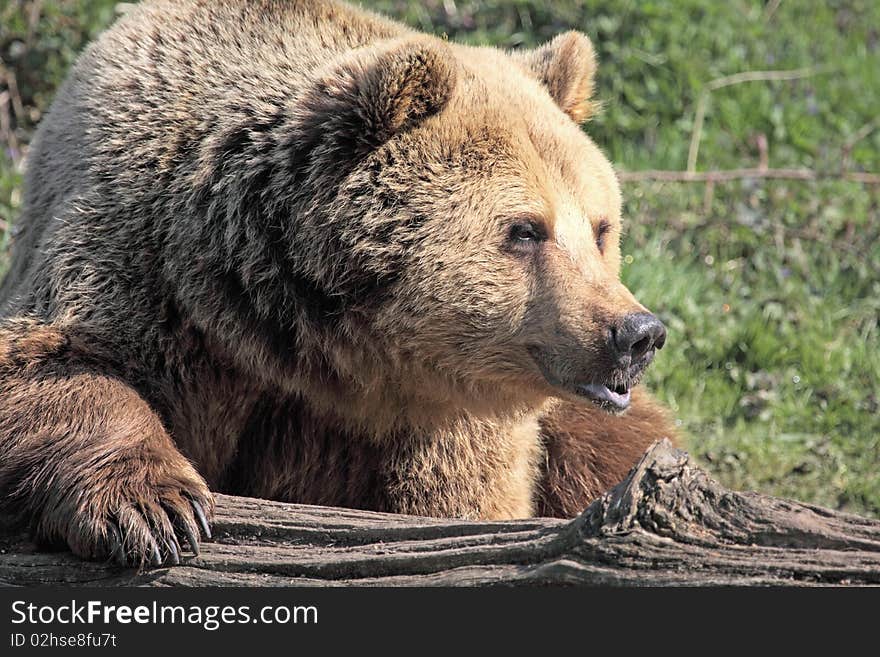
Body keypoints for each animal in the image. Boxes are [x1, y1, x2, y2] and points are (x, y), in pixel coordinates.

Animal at [0, 0, 672, 564]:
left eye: (601, 228)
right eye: (527, 230)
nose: (636, 332)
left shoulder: (445, 423)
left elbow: (464, 500)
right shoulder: (141, 262)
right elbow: (53, 360)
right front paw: (157, 510)